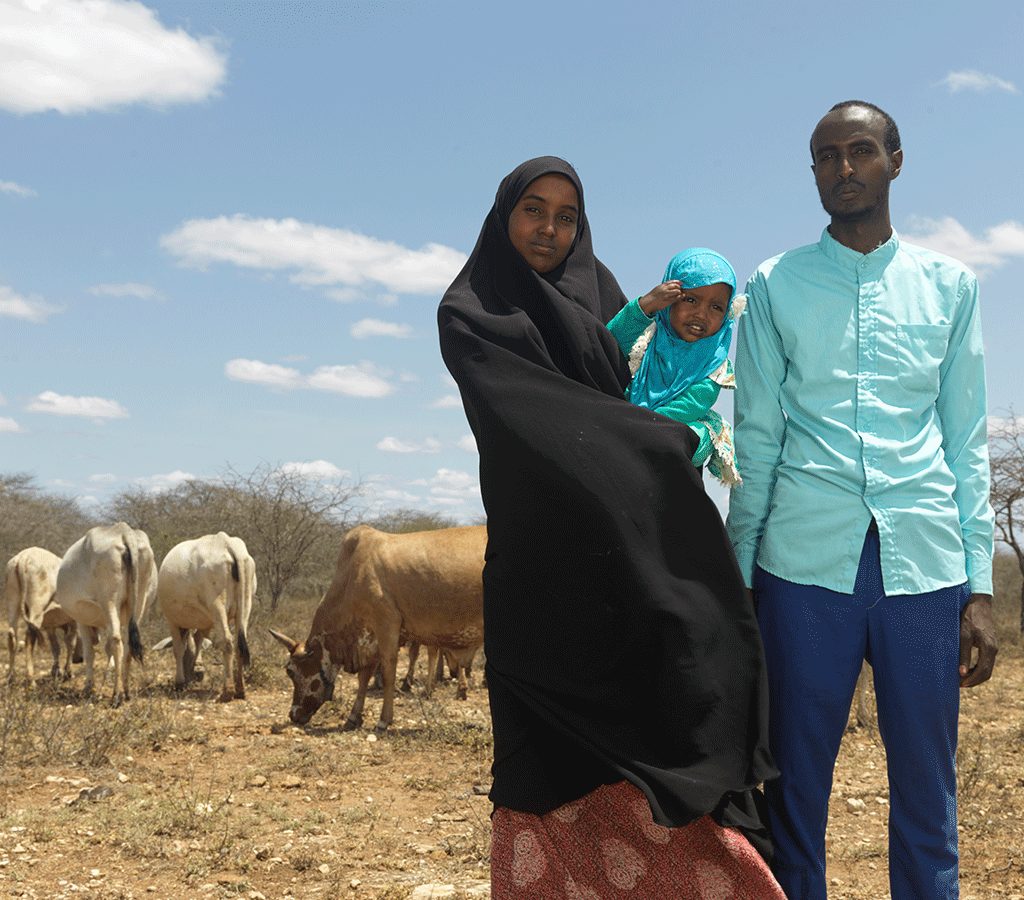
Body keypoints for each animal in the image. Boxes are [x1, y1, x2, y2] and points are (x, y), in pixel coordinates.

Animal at [3, 548, 76, 683]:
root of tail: (23, 557)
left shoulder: (51, 627)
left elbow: (56, 647)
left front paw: (56, 671)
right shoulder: (74, 622)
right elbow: (70, 643)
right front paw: (68, 672)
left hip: (13, 601)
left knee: (12, 635)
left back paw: (11, 677)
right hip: (37, 607)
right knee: (29, 636)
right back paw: (31, 678)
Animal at [54, 524, 155, 708]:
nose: (76, 659)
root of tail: (124, 531)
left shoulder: (82, 620)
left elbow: (90, 652)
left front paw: (89, 688)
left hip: (109, 601)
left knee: (116, 641)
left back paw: (116, 695)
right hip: (139, 602)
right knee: (127, 644)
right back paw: (126, 691)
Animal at [159, 536, 258, 704]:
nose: (194, 677)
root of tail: (226, 542)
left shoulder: (172, 621)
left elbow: (178, 649)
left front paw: (179, 682)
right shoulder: (205, 623)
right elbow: (198, 640)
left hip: (217, 604)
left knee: (227, 642)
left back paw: (227, 692)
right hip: (246, 605)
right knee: (239, 644)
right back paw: (240, 690)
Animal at [268, 528, 483, 733]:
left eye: (290, 671)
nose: (293, 715)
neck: (351, 577)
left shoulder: (387, 626)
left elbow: (388, 673)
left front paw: (383, 720)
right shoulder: (368, 639)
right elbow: (364, 677)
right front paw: (353, 717)